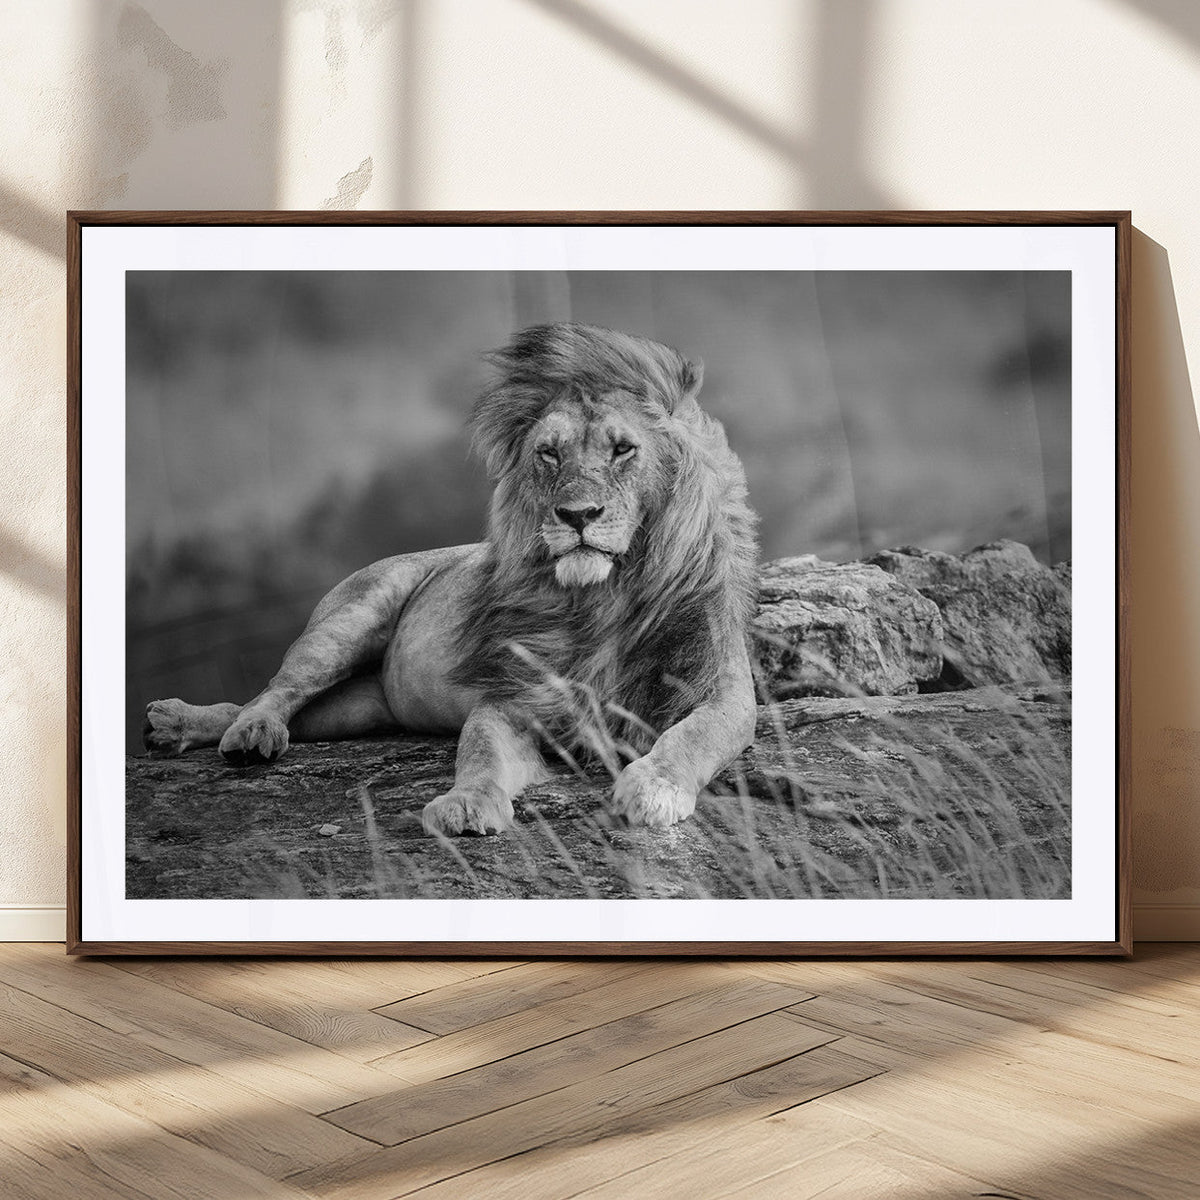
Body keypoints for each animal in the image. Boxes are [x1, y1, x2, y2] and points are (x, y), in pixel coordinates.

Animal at [143, 322, 759, 834]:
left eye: (623, 448)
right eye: (549, 454)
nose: (577, 515)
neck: (602, 598)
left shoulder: (722, 690)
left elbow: (693, 735)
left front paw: (653, 788)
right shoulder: (512, 697)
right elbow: (479, 751)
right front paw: (466, 804)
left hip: (358, 708)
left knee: (283, 710)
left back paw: (179, 726)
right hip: (349, 619)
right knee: (275, 691)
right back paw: (235, 732)